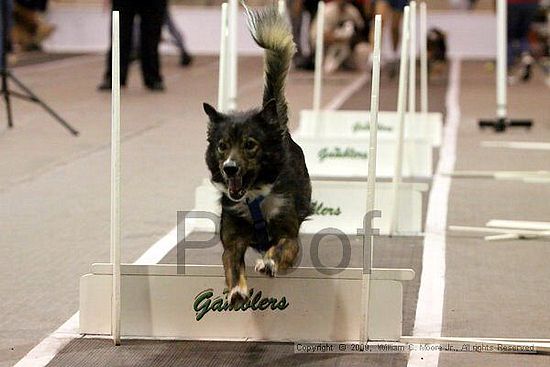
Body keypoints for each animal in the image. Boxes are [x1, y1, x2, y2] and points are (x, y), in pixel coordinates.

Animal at [205, 5, 312, 308]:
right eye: (222, 146)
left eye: (250, 145)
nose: (229, 168)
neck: (254, 197)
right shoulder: (232, 241)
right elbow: (233, 264)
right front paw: (237, 290)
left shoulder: (290, 234)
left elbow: (282, 248)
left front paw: (269, 263)